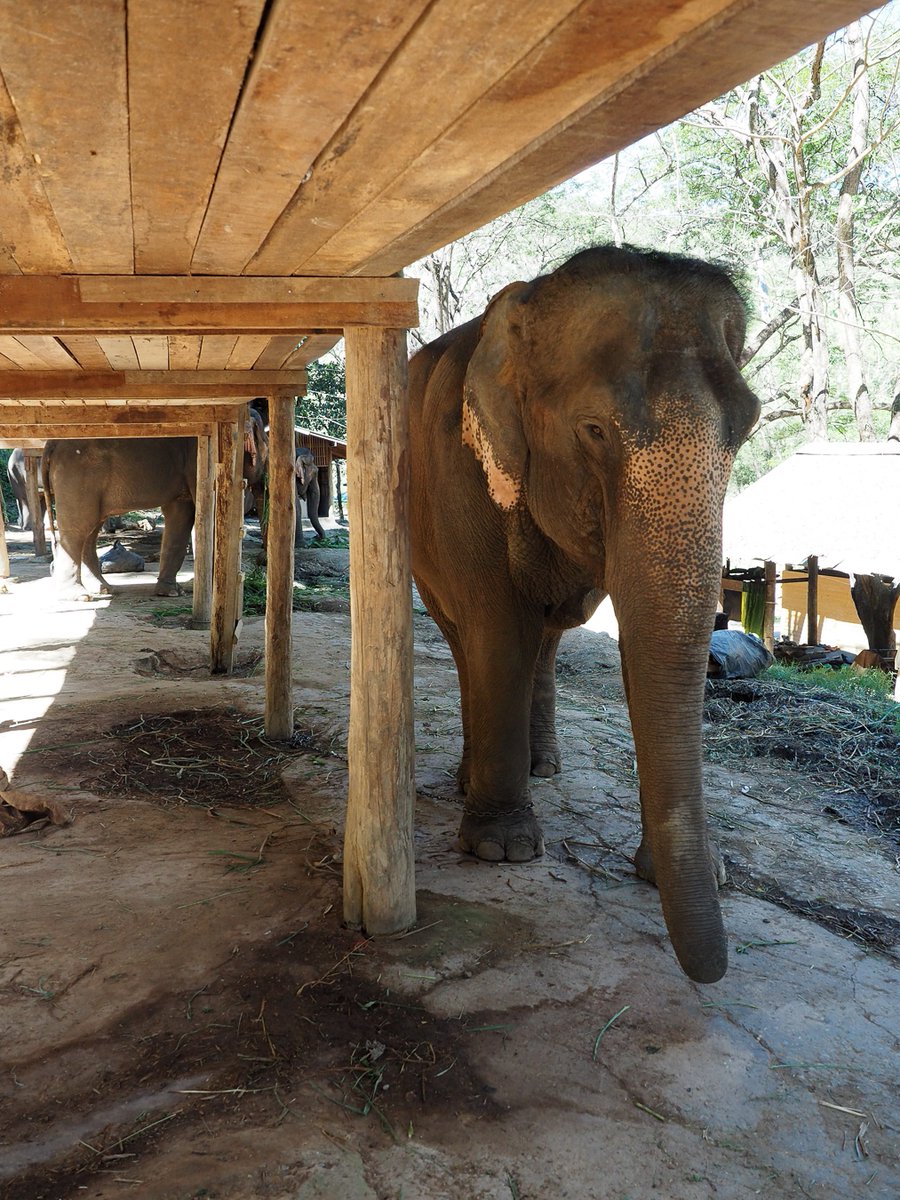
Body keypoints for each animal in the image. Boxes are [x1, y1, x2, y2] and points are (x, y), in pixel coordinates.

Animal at [43, 412, 268, 599]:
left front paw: (171, 593)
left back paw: (104, 589)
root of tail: (51, 443)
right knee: (78, 528)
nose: (261, 561)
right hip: (78, 475)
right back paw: (78, 595)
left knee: (90, 530)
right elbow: (203, 513)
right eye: (267, 444)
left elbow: (180, 516)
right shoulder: (199, 459)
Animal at [408, 245, 760, 984]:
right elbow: (496, 626)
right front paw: (502, 850)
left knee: (544, 640)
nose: (711, 974)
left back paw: (539, 768)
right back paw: (481, 779)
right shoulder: (462, 472)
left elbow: (637, 647)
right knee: (469, 640)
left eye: (746, 428)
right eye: (594, 430)